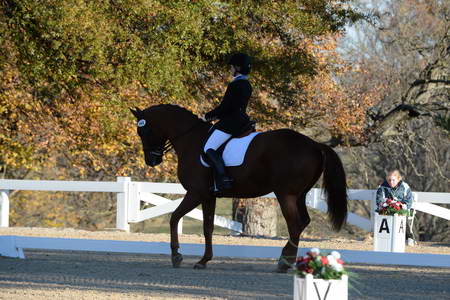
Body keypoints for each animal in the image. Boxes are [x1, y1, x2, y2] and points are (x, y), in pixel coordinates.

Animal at [130, 104, 348, 274]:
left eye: (144, 131)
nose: (151, 161)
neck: (191, 139)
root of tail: (314, 145)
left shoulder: (195, 193)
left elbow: (174, 218)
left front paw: (176, 255)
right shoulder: (209, 196)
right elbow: (207, 227)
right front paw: (204, 260)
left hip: (286, 194)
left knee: (294, 224)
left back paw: (284, 263)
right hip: (299, 195)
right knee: (302, 223)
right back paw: (288, 261)